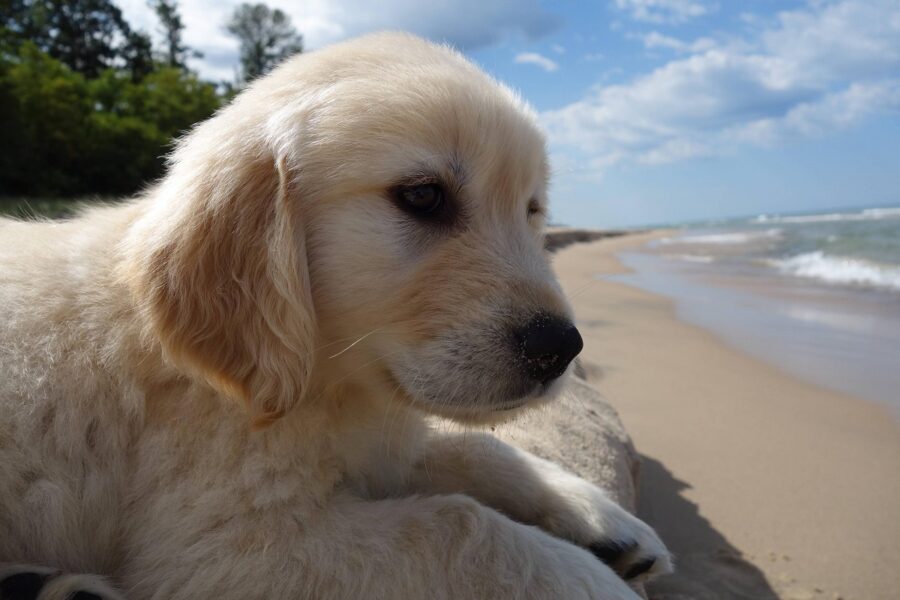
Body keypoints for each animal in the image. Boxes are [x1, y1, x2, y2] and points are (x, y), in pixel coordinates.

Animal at [0, 34, 672, 600]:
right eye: (422, 195)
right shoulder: (225, 550)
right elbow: (460, 525)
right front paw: (591, 581)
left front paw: (601, 517)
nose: (561, 348)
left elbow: (470, 447)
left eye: (532, 210)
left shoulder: (380, 433)